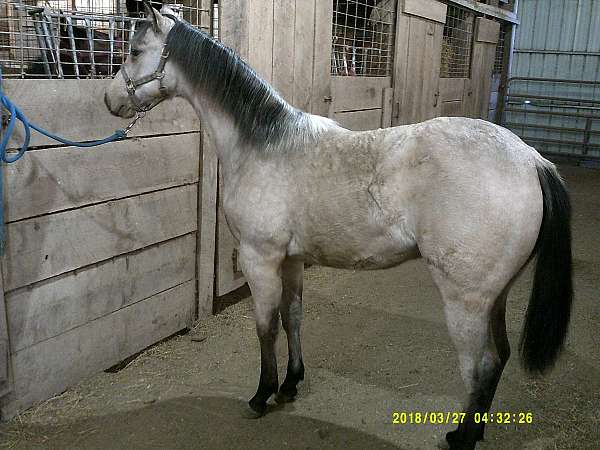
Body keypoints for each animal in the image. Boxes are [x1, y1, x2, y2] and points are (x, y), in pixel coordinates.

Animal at [104, 5, 576, 448]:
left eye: (134, 51)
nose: (110, 101)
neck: (264, 144)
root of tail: (532, 160)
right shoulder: (292, 260)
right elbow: (292, 318)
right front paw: (291, 384)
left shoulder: (260, 259)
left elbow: (265, 327)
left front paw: (262, 394)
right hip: (497, 295)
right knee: (500, 357)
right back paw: (472, 432)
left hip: (467, 300)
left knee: (480, 367)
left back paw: (460, 437)